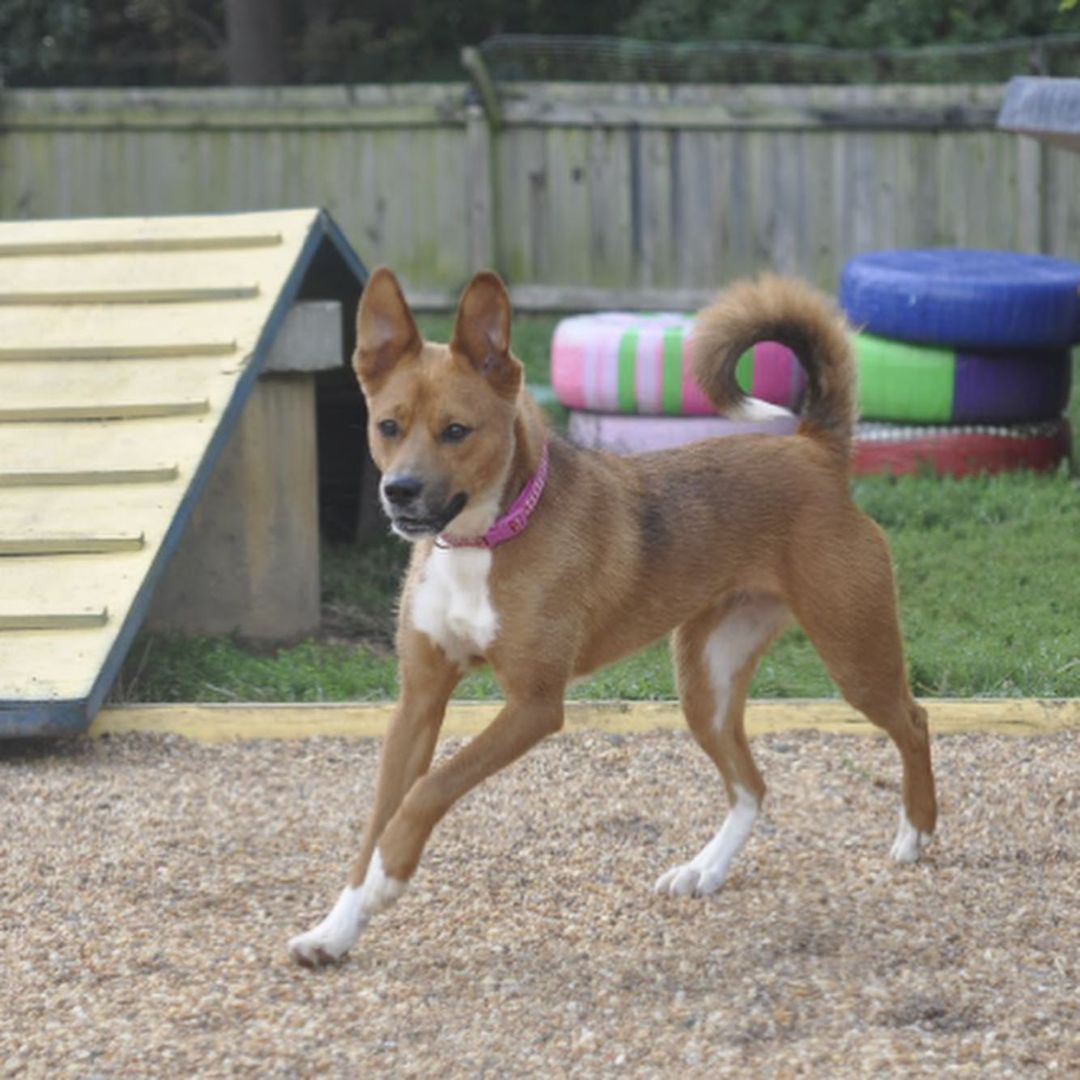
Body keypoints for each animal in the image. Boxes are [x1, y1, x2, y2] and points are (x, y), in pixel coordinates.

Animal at [289, 267, 937, 963]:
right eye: (388, 426)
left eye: (456, 430)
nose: (399, 492)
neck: (486, 540)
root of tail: (815, 452)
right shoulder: (418, 701)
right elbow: (377, 821)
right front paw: (336, 928)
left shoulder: (534, 705)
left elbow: (428, 791)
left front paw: (389, 879)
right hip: (706, 686)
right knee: (752, 786)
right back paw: (704, 870)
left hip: (854, 657)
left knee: (914, 721)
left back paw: (917, 832)